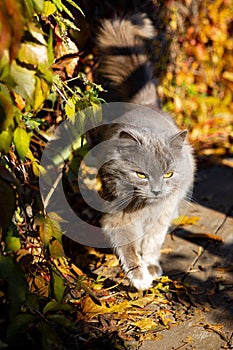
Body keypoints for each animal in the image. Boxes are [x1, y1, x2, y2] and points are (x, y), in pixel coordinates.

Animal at [96, 13, 195, 288]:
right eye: (141, 174)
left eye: (169, 174)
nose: (157, 189)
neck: (146, 208)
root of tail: (145, 104)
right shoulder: (117, 217)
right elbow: (128, 247)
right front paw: (139, 277)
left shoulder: (161, 216)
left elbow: (152, 242)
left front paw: (150, 266)